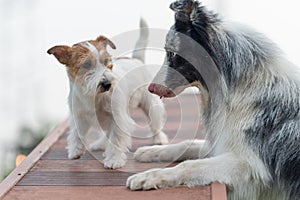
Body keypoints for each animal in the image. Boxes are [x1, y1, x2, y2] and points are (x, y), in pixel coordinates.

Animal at [126, 0, 300, 199]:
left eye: (172, 54)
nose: (150, 88)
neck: (238, 85)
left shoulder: (249, 166)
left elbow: (188, 165)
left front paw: (148, 177)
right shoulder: (220, 144)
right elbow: (187, 144)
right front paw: (152, 151)